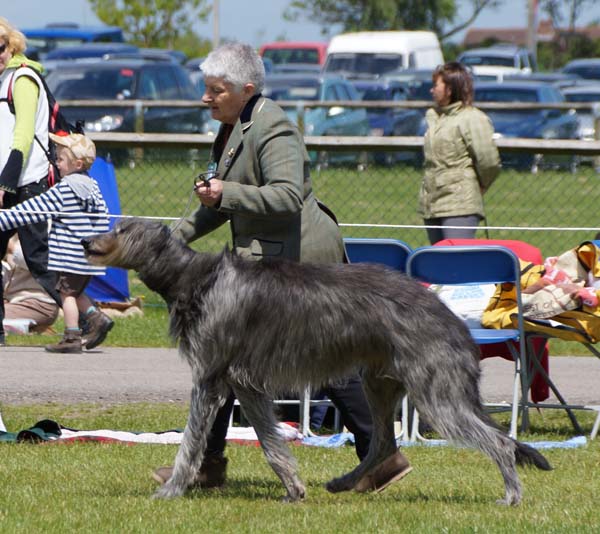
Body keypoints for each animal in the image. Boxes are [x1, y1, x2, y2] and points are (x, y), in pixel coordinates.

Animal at [82, 218, 552, 506]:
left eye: (122, 229)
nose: (86, 241)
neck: (195, 279)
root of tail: (450, 316)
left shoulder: (211, 378)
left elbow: (191, 442)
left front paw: (173, 489)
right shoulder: (247, 384)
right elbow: (272, 445)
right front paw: (293, 487)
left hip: (435, 391)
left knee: (499, 443)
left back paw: (512, 495)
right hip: (380, 381)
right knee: (383, 442)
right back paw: (346, 481)